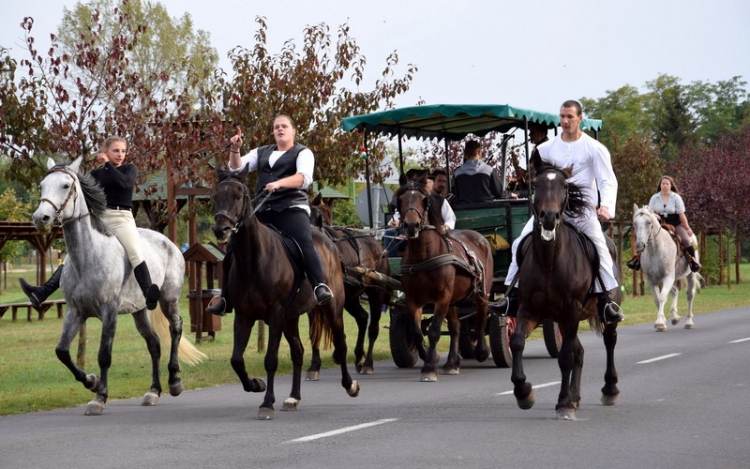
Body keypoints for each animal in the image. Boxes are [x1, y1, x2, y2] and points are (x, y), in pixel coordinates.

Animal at [31, 156, 207, 414]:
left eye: (65, 185)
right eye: (42, 185)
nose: (40, 218)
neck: (86, 258)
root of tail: (171, 244)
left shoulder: (109, 311)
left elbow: (104, 355)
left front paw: (99, 397)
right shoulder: (75, 312)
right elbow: (62, 351)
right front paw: (91, 381)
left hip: (169, 299)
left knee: (175, 328)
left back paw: (174, 381)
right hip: (139, 310)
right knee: (154, 344)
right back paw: (153, 392)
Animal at [210, 166, 360, 418]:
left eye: (238, 196)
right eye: (215, 196)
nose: (222, 229)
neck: (253, 259)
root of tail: (330, 243)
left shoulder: (275, 314)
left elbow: (270, 359)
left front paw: (266, 403)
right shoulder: (244, 316)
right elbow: (236, 360)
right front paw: (256, 384)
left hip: (331, 308)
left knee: (340, 343)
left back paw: (350, 385)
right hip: (290, 318)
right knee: (298, 351)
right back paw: (293, 398)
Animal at [308, 196, 396, 374]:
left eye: (320, 217)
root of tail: (379, 247)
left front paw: (337, 352)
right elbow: (314, 332)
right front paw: (314, 365)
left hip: (375, 294)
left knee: (373, 328)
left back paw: (368, 362)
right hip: (352, 297)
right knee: (362, 318)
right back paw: (358, 356)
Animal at [396, 180, 496, 380]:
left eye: (424, 200)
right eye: (401, 200)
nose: (411, 226)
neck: (424, 256)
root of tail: (480, 237)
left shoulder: (442, 297)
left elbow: (434, 330)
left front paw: (429, 368)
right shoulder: (412, 300)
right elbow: (417, 332)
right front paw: (429, 357)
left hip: (482, 291)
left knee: (481, 316)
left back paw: (481, 351)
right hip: (454, 299)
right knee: (456, 327)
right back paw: (452, 363)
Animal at [512, 154, 624, 420]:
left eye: (564, 186)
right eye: (537, 183)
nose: (549, 217)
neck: (549, 262)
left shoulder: (571, 311)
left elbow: (565, 358)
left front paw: (563, 403)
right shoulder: (528, 310)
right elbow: (517, 342)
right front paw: (524, 392)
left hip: (598, 315)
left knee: (609, 341)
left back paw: (609, 389)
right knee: (579, 352)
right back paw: (575, 396)